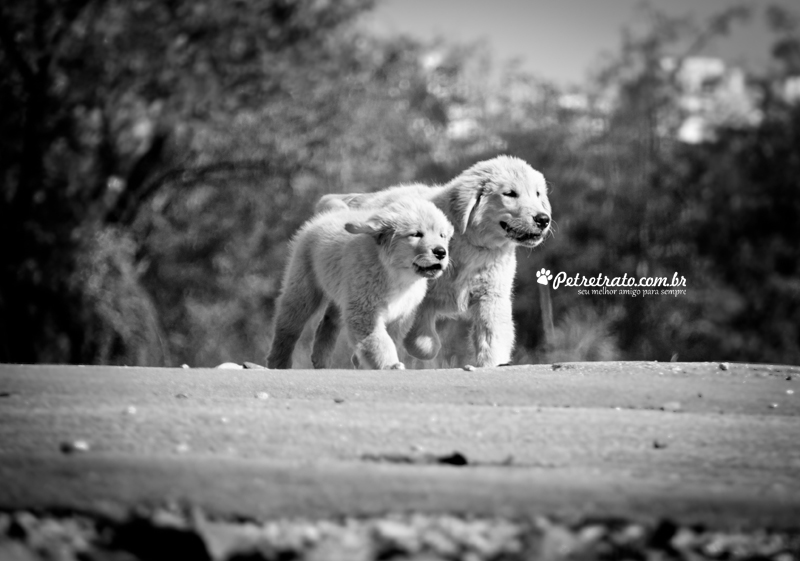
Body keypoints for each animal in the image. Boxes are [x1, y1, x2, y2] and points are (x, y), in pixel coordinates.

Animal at [268, 199, 454, 370]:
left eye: (442, 235)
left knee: (329, 319)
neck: (397, 275)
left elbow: (390, 338)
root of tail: (331, 213)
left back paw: (321, 358)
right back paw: (278, 363)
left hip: (343, 291)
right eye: (416, 234)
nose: (441, 252)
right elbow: (379, 340)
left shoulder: (401, 315)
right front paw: (389, 364)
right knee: (288, 328)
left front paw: (364, 362)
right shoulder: (364, 310)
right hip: (304, 288)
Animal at [312, 158, 552, 368]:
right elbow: (422, 343)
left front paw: (492, 363)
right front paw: (423, 346)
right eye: (510, 194)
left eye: (537, 194)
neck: (473, 245)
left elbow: (493, 334)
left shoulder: (491, 294)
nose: (543, 219)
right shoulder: (421, 294)